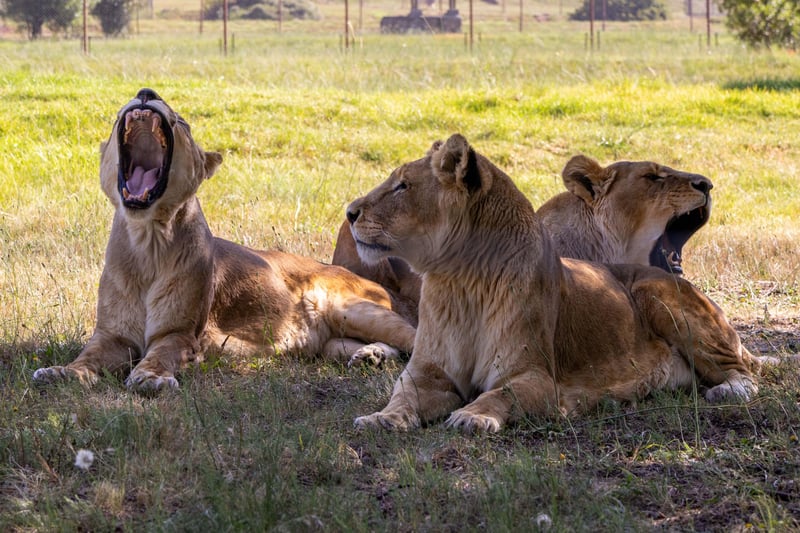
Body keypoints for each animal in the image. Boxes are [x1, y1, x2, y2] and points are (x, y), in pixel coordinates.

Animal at [32, 88, 415, 393]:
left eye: (182, 123)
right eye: (115, 119)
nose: (145, 92)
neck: (145, 241)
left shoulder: (180, 333)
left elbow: (159, 355)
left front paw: (150, 377)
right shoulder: (111, 335)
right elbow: (87, 356)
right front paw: (61, 372)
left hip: (356, 310)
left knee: (415, 337)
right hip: (332, 344)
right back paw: (370, 356)